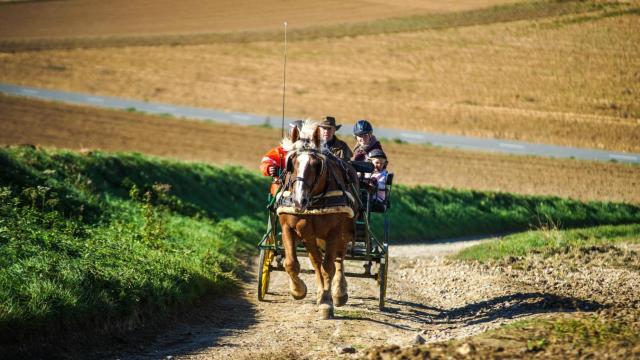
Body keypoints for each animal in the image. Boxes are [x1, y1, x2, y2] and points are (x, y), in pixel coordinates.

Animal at [278, 122, 360, 320]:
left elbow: (328, 266)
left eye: (316, 164)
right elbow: (291, 263)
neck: (314, 201)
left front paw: (326, 302)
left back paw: (338, 292)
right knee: (315, 261)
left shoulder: (334, 232)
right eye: (291, 163)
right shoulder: (288, 228)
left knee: (339, 259)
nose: (299, 200)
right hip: (310, 236)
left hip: (345, 232)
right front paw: (298, 290)